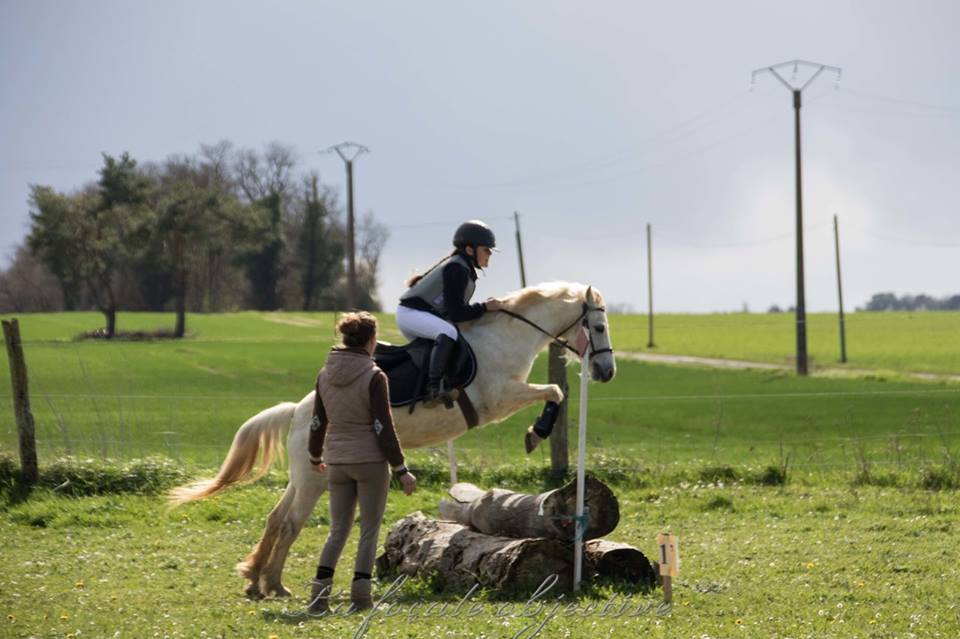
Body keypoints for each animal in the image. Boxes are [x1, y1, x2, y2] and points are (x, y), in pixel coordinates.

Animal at [167, 282, 616, 596]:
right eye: (597, 326)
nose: (607, 373)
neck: (506, 337)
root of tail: (298, 411)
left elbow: (555, 393)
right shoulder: (501, 397)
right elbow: (555, 392)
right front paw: (535, 434)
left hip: (305, 474)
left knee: (277, 518)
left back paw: (257, 579)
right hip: (315, 478)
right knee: (292, 522)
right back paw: (274, 584)